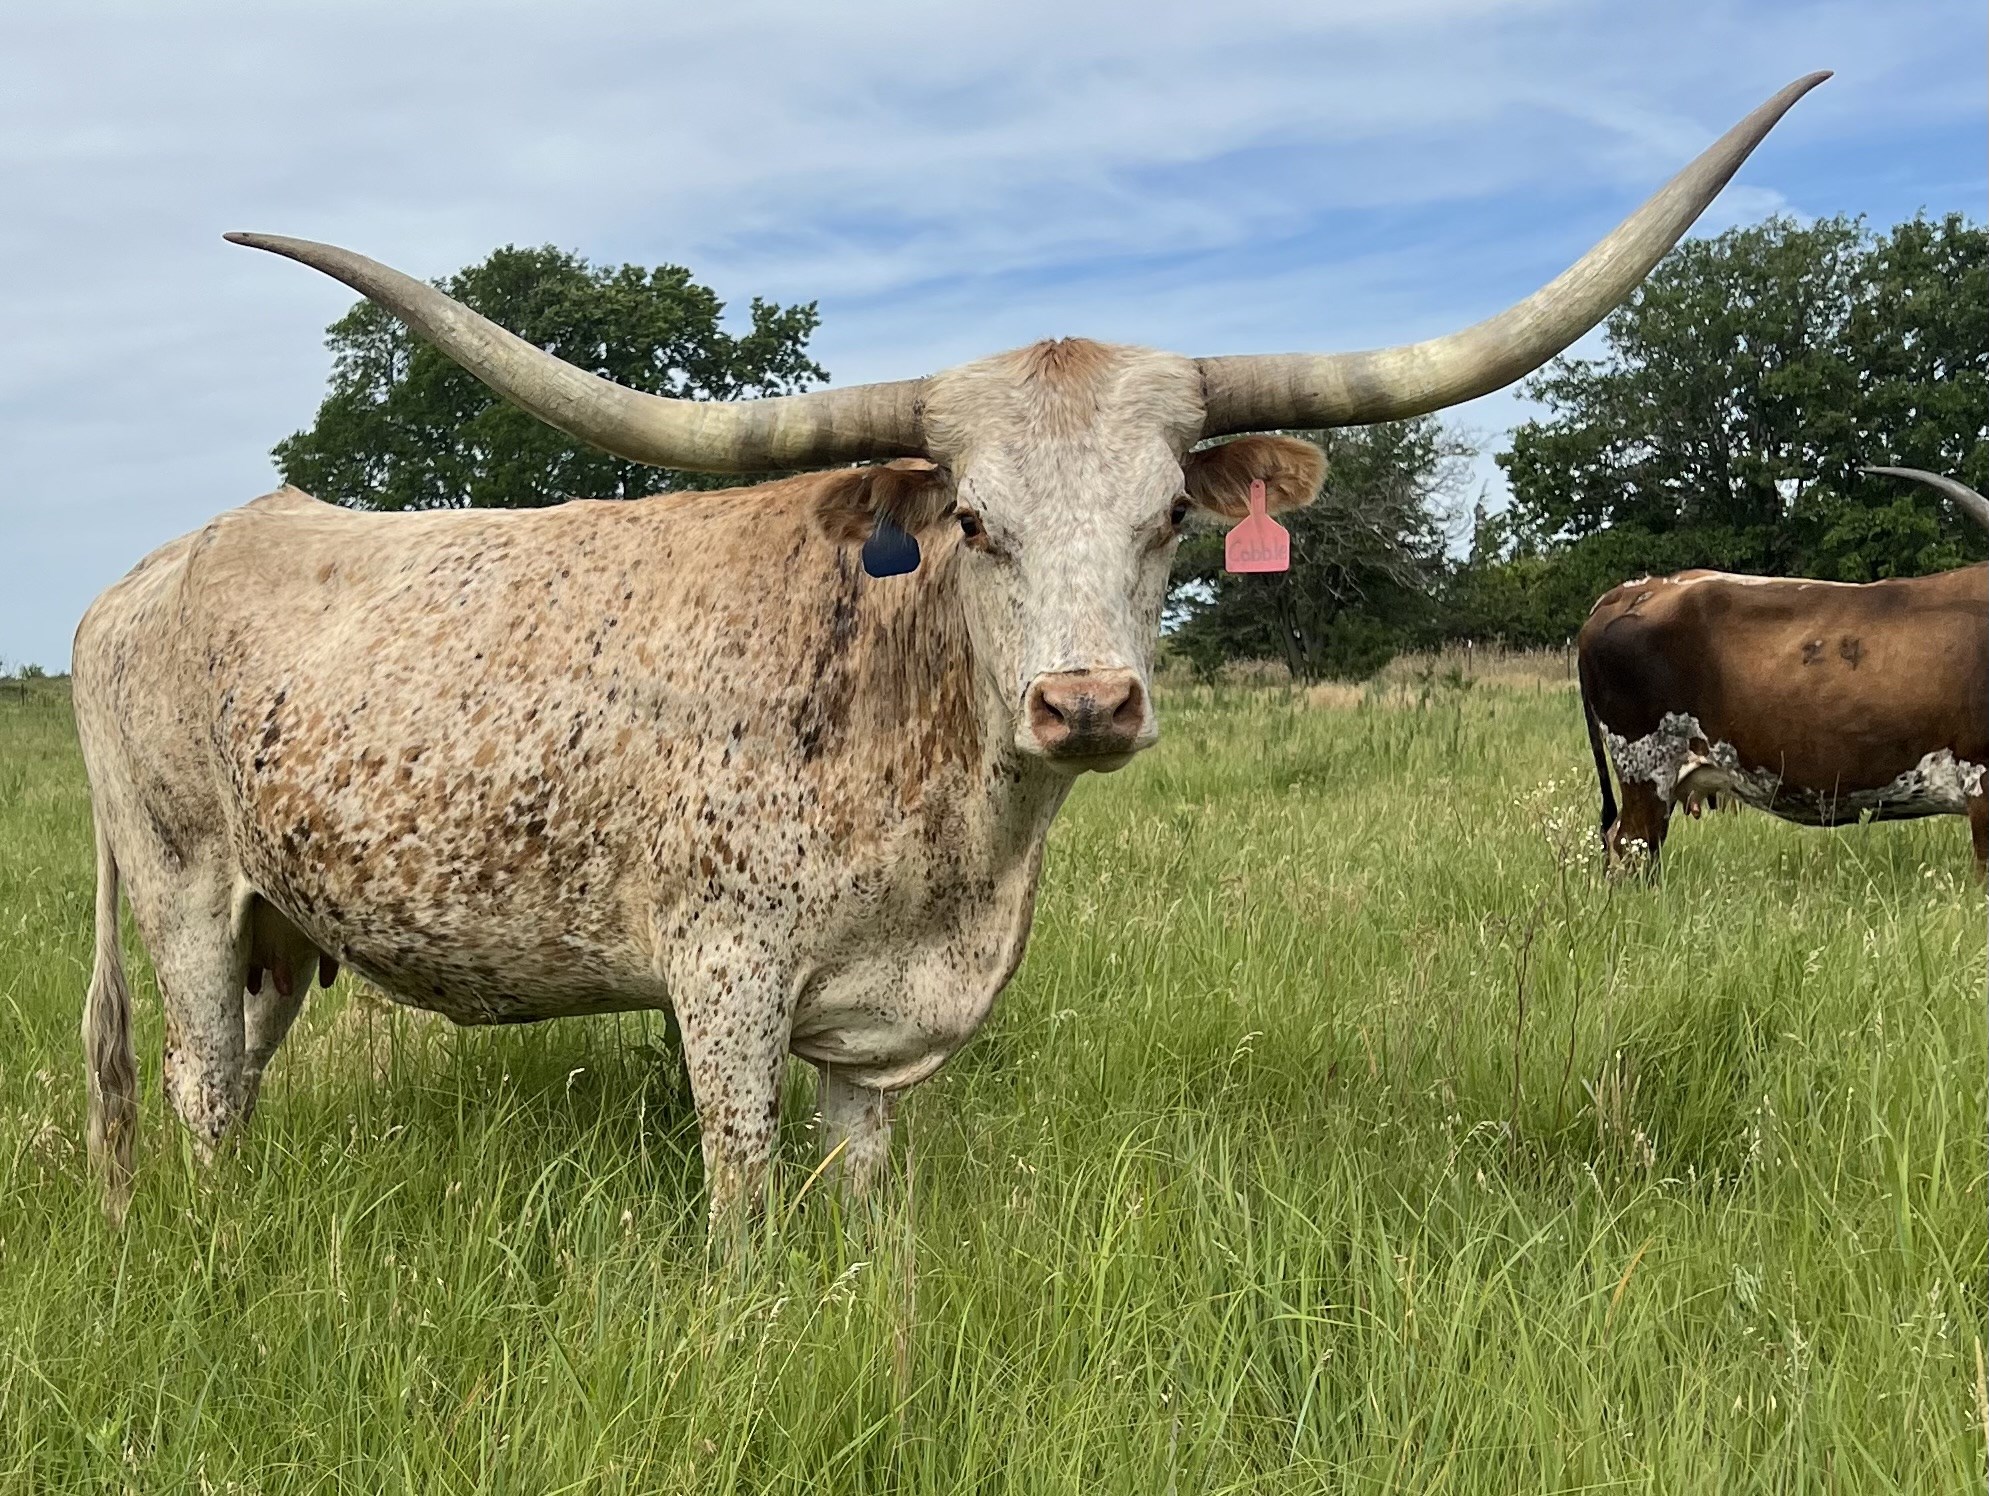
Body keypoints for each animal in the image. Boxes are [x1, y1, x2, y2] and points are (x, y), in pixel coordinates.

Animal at [73, 75, 1826, 1228]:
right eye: (973, 519)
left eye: (1169, 519)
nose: (1086, 702)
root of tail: (146, 574)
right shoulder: (721, 976)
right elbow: (740, 1190)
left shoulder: (878, 1026)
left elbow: (861, 1199)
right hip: (181, 887)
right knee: (201, 1083)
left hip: (284, 923)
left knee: (228, 1068)